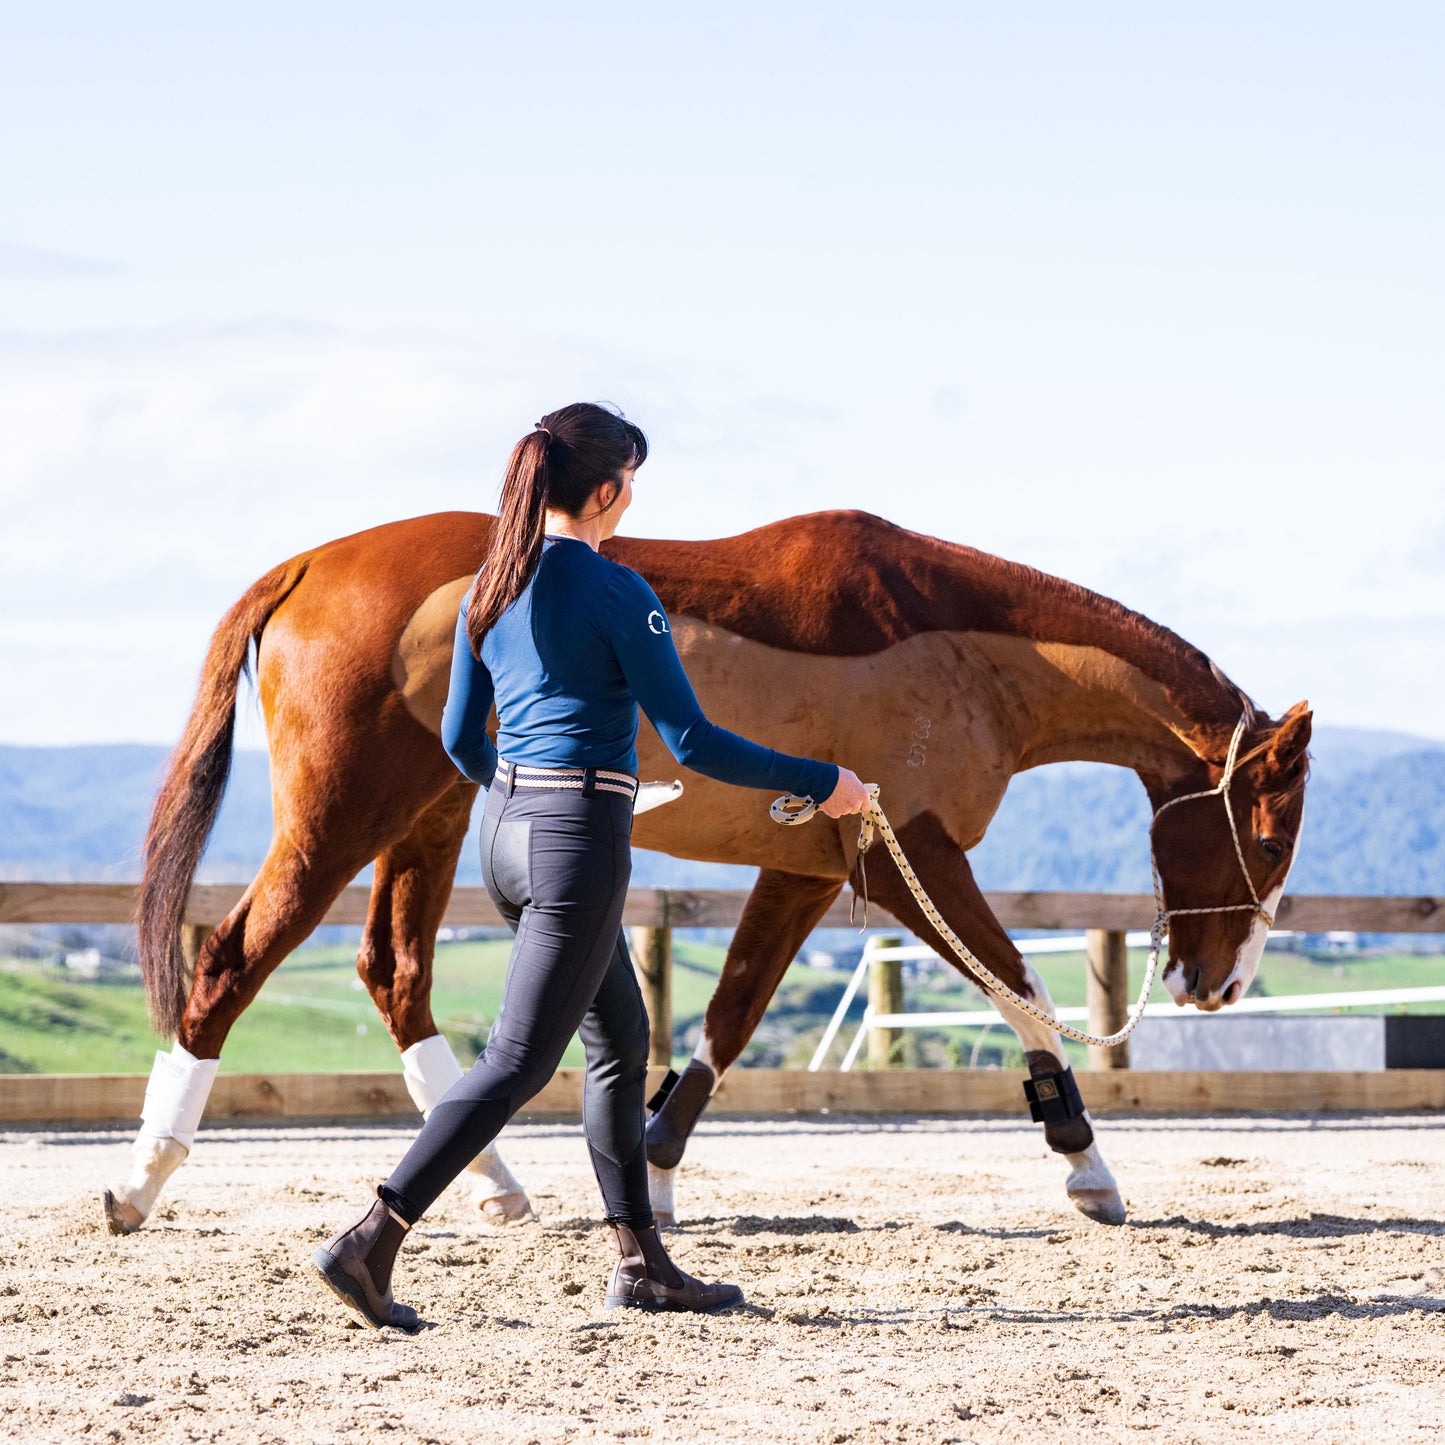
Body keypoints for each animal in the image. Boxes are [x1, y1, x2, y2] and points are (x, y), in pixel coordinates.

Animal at [104, 505, 1312, 1231]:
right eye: (1267, 833)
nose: (1218, 984)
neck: (965, 650)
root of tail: (307, 564)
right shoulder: (910, 858)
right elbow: (1017, 986)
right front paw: (1085, 1163)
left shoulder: (813, 866)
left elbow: (729, 1020)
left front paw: (652, 1168)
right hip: (343, 815)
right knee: (230, 963)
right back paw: (141, 1179)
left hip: (432, 812)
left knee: (394, 971)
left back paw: (495, 1185)